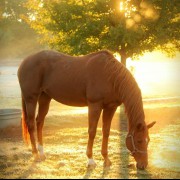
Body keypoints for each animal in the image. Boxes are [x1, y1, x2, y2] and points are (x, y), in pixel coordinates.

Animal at [17, 49, 155, 170]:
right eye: (139, 140)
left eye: (148, 140)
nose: (143, 165)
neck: (110, 76)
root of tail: (24, 62)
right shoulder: (95, 105)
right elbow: (92, 131)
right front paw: (90, 160)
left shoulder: (110, 107)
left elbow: (106, 131)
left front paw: (106, 159)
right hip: (31, 98)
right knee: (31, 124)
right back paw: (35, 154)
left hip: (45, 97)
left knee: (39, 122)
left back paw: (41, 153)